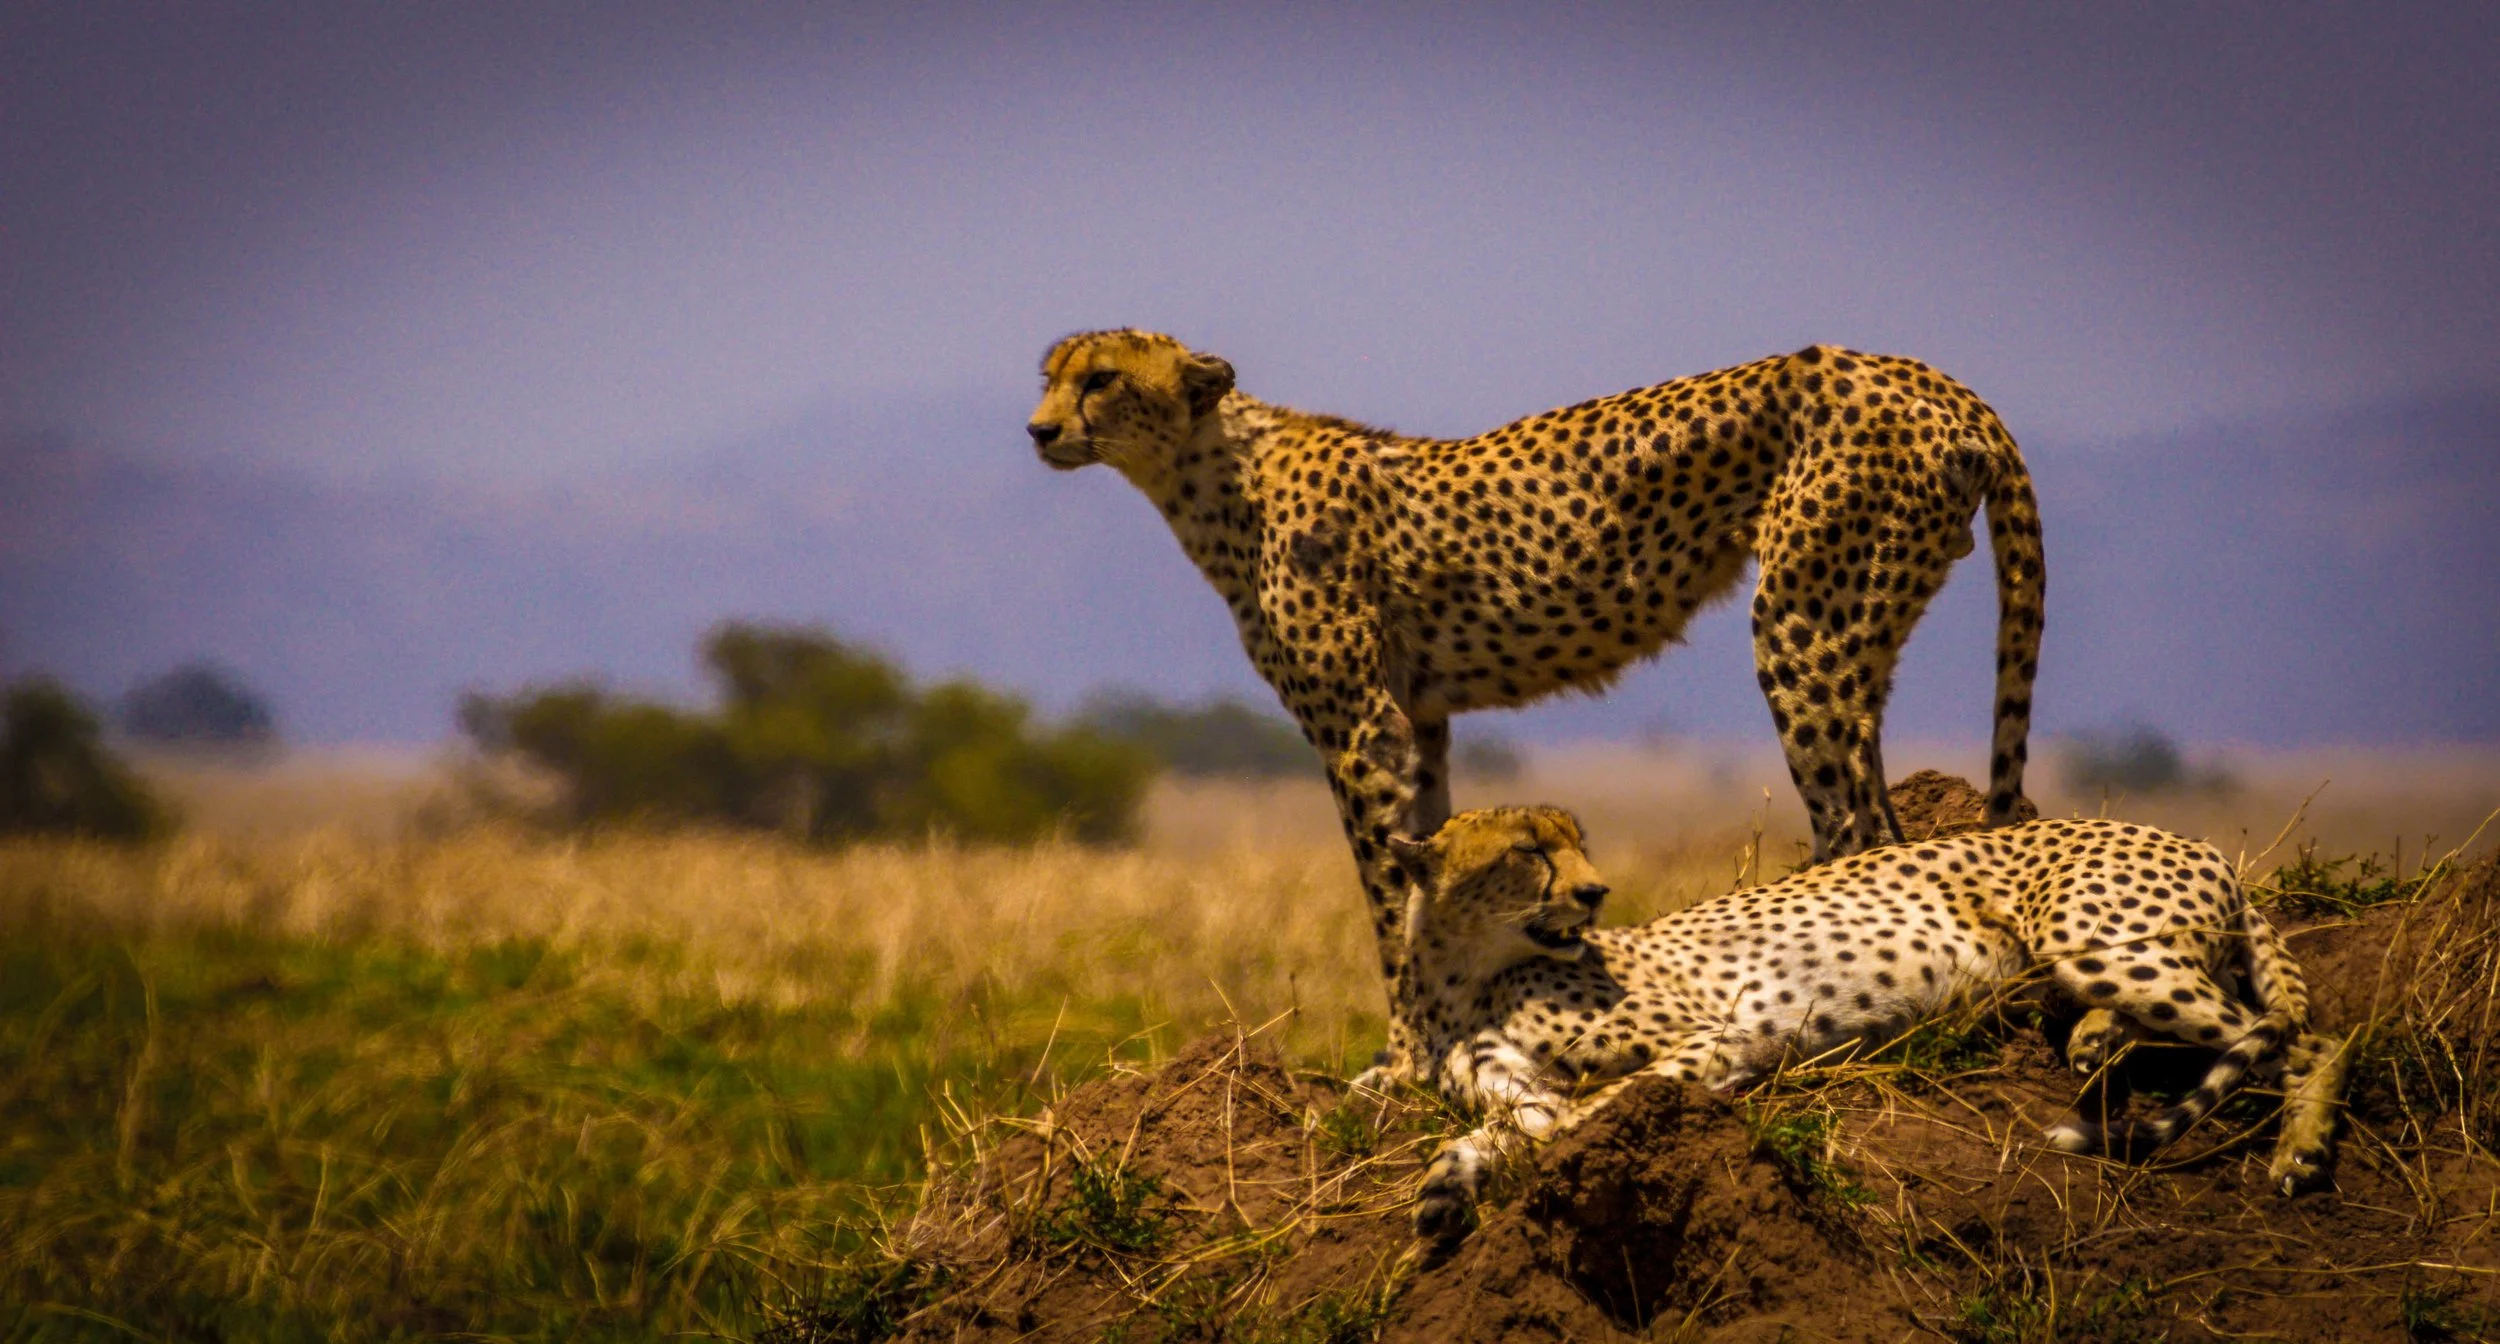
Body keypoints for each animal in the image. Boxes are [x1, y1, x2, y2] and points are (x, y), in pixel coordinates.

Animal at [1025, 330, 2046, 1010]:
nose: (1037, 429)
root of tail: (1929, 375)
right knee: (1884, 806)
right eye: (1051, 376)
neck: (1208, 472)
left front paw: (1399, 1056)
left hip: (1801, 623)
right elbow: (1422, 861)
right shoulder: (1419, 721)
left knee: (1855, 817)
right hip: (1860, 620)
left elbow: (1381, 884)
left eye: (1101, 378)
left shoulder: (1359, 726)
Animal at [1384, 805, 2349, 1244]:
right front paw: (1443, 1190)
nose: (1593, 892)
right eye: (1528, 850)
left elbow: (1583, 1119)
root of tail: (2198, 841)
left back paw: (2299, 1151)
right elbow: (1503, 1126)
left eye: (1574, 841)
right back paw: (2095, 1038)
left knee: (2305, 1039)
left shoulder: (1721, 1034)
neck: (1462, 977)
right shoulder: (1524, 1088)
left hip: (2103, 942)